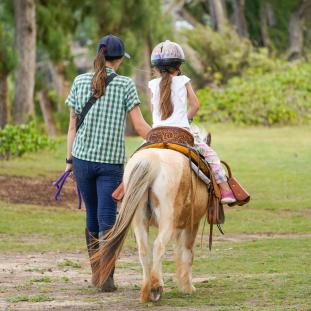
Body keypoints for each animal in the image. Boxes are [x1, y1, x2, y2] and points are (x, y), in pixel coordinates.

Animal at [91, 147, 211, 304]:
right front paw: (188, 287)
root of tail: (150, 161)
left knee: (144, 250)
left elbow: (179, 251)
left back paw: (146, 292)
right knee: (159, 246)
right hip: (167, 219)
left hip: (139, 218)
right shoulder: (192, 223)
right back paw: (156, 288)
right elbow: (187, 253)